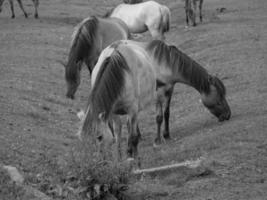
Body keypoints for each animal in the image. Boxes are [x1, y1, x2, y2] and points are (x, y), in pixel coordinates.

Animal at [78, 39, 232, 165]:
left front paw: (166, 135)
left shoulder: (169, 89)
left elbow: (167, 113)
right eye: (219, 98)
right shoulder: (157, 93)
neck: (166, 61)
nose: (227, 115)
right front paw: (157, 140)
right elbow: (158, 117)